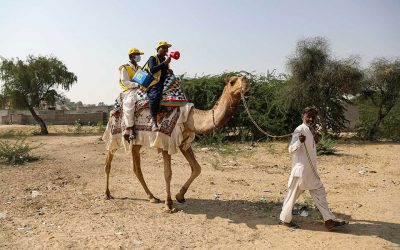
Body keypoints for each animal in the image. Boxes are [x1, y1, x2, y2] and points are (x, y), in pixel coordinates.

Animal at [103, 74, 250, 211]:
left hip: (136, 142)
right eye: (232, 82)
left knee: (136, 168)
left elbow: (197, 168)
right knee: (109, 161)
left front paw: (180, 196)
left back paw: (152, 197)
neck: (190, 117)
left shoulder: (183, 142)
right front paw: (169, 204)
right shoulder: (165, 142)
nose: (246, 81)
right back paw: (107, 194)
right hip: (113, 133)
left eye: (242, 78)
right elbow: (168, 173)